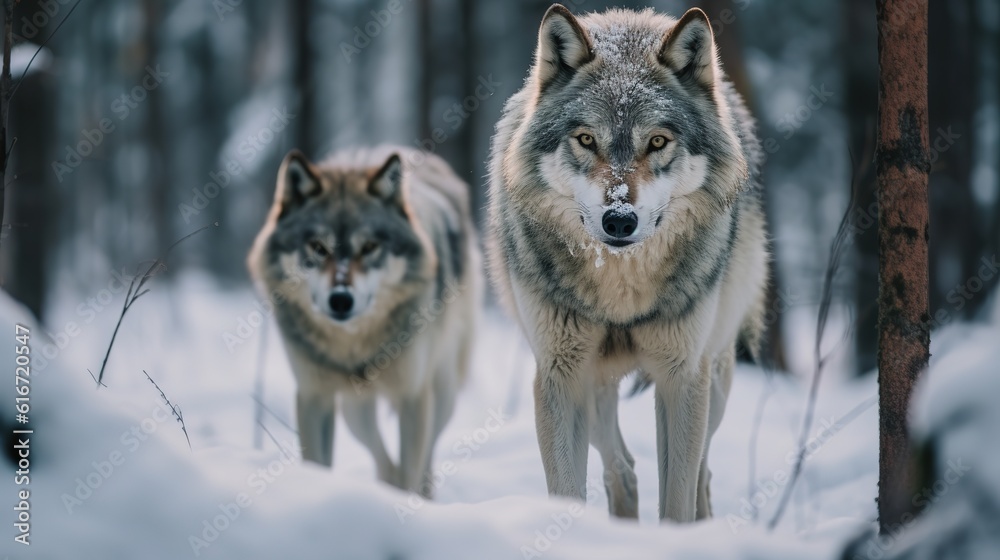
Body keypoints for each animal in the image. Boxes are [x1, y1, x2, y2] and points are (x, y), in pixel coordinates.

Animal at [248, 146, 481, 497]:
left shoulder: (413, 396)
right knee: (384, 461)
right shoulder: (313, 396)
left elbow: (412, 470)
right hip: (355, 411)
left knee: (423, 459)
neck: (353, 343)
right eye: (318, 247)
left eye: (370, 246)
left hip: (442, 396)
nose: (341, 299)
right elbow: (318, 464)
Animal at [486, 5, 769, 522]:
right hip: (596, 386)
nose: (619, 219)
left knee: (702, 471)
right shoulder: (560, 375)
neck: (621, 294)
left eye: (656, 141)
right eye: (585, 139)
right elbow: (566, 488)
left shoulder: (682, 375)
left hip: (715, 379)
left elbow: (677, 498)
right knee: (622, 467)